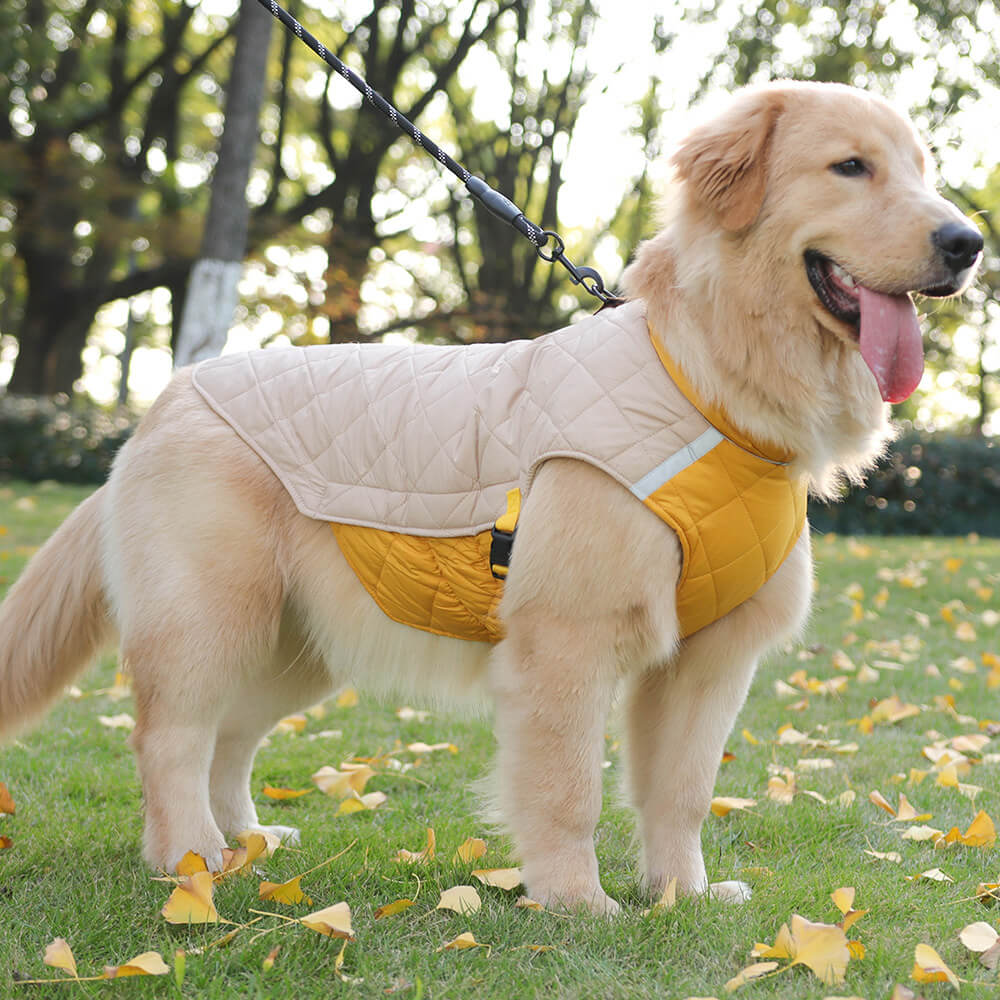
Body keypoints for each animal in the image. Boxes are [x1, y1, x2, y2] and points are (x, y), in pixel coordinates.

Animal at [0, 82, 984, 916]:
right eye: (850, 167)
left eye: (921, 169)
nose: (968, 243)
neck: (706, 383)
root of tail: (170, 395)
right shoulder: (567, 637)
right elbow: (569, 788)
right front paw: (576, 903)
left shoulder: (710, 661)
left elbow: (683, 790)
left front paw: (682, 896)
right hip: (212, 614)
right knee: (169, 736)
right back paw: (192, 861)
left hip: (295, 641)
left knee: (229, 735)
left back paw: (246, 842)